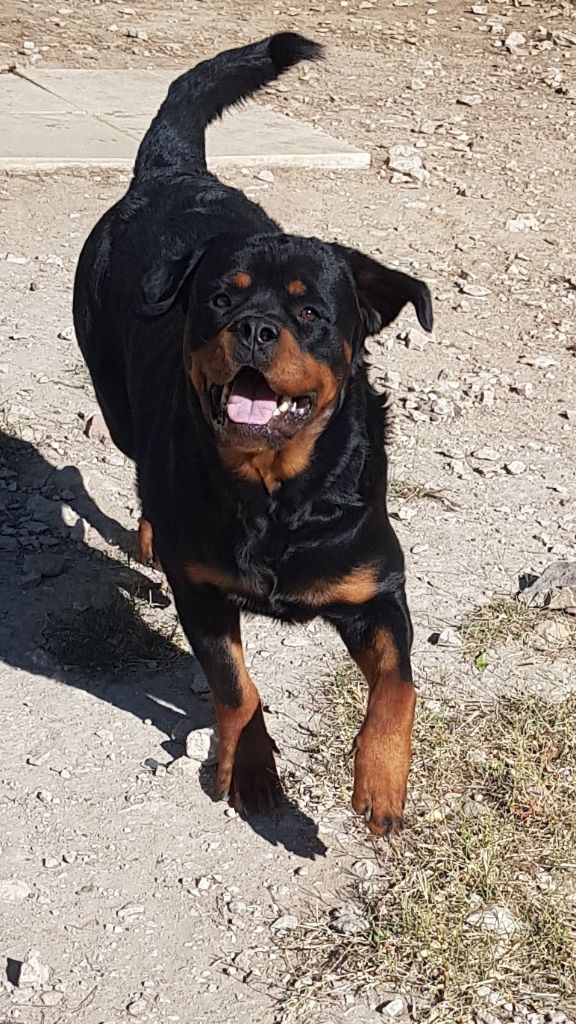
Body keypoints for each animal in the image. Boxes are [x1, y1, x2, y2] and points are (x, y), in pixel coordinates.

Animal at [73, 32, 433, 838]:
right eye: (218, 299)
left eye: (310, 313)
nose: (255, 327)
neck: (275, 491)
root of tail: (172, 171)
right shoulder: (203, 595)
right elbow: (237, 688)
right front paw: (252, 772)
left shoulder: (376, 591)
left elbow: (399, 685)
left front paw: (381, 781)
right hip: (117, 404)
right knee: (141, 468)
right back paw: (150, 534)